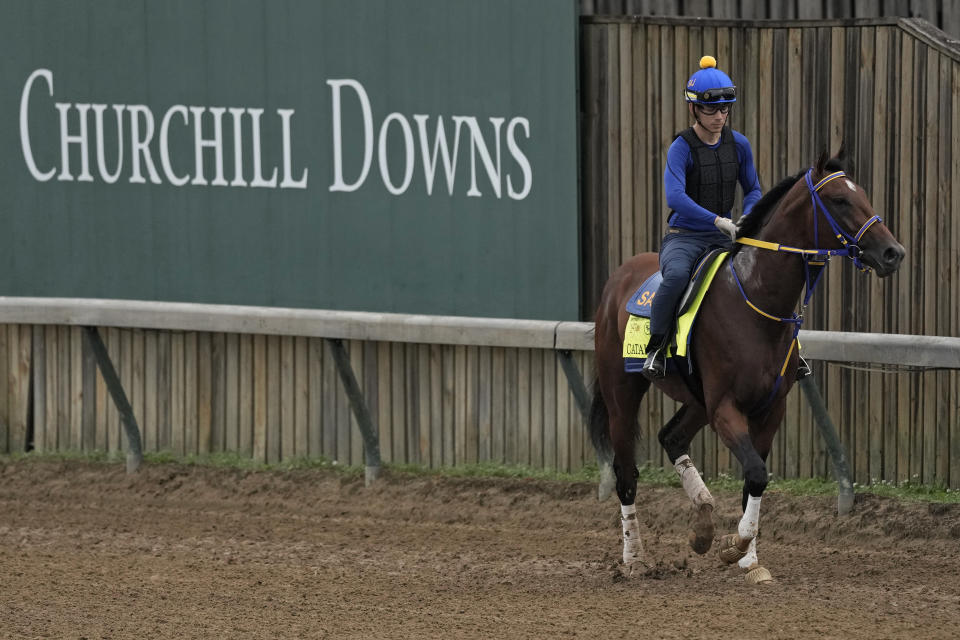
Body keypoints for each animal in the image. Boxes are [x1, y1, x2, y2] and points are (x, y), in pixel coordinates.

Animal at [588, 150, 904, 584]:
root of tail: (615, 282)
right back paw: (634, 558)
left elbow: (754, 481)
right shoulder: (726, 408)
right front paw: (734, 546)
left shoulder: (770, 409)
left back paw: (703, 522)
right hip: (623, 393)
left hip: (697, 400)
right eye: (840, 200)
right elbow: (755, 473)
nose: (893, 252)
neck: (756, 299)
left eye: (864, 195)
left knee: (671, 437)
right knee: (626, 474)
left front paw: (749, 560)